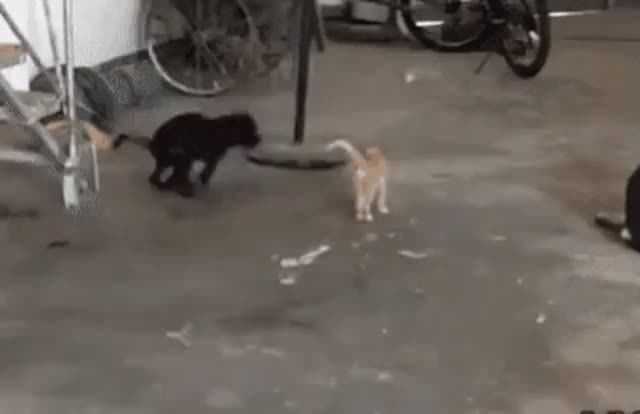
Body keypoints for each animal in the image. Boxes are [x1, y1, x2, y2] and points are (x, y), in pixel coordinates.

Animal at [112, 111, 261, 198]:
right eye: (251, 132)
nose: (259, 139)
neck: (223, 130)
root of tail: (152, 142)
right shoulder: (211, 158)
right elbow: (205, 174)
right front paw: (201, 183)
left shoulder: (212, 159)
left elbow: (204, 174)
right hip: (177, 157)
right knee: (163, 177)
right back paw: (174, 187)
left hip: (168, 161)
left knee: (160, 176)